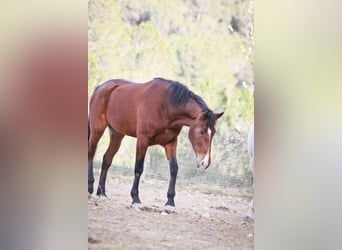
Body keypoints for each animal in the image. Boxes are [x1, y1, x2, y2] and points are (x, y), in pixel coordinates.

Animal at [87, 77, 223, 207]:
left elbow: (174, 169)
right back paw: (90, 187)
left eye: (213, 132)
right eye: (201, 131)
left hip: (117, 134)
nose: (205, 162)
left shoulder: (171, 143)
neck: (165, 106)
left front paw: (170, 201)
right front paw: (135, 198)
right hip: (97, 130)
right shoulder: (142, 140)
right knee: (91, 154)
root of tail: (101, 87)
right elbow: (138, 168)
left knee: (107, 159)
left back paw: (102, 193)